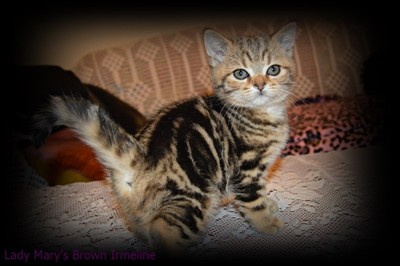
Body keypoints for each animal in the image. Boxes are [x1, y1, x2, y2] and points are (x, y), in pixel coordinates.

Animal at [32, 23, 296, 254]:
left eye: (273, 69)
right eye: (241, 73)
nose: (260, 85)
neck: (260, 114)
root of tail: (139, 159)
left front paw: (270, 206)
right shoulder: (245, 169)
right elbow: (253, 201)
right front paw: (267, 223)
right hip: (193, 198)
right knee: (164, 231)